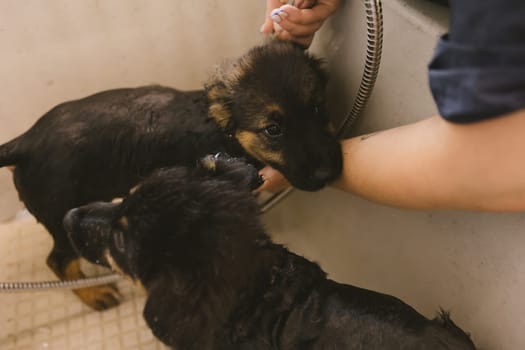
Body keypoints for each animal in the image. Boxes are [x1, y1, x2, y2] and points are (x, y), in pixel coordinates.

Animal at [0, 40, 340, 308]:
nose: (328, 173)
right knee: (57, 261)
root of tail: (26, 142)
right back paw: (95, 294)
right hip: (59, 217)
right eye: (273, 130)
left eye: (318, 108)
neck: (222, 129)